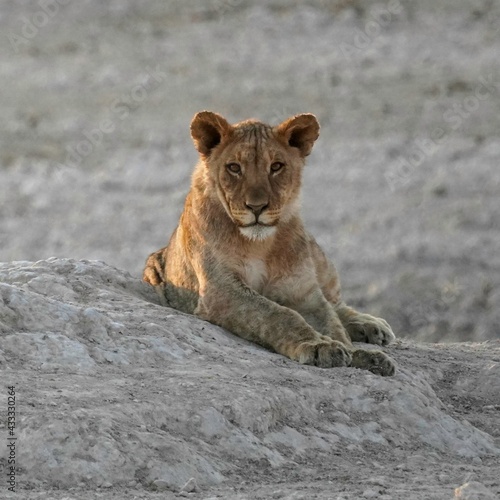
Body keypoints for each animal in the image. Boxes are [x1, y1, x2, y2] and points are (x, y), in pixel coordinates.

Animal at [143, 110, 396, 376]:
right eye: (234, 168)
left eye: (276, 167)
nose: (256, 207)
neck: (260, 245)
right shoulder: (220, 288)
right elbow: (277, 314)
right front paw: (319, 346)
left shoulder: (302, 291)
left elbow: (330, 321)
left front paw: (358, 354)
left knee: (336, 304)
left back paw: (372, 326)